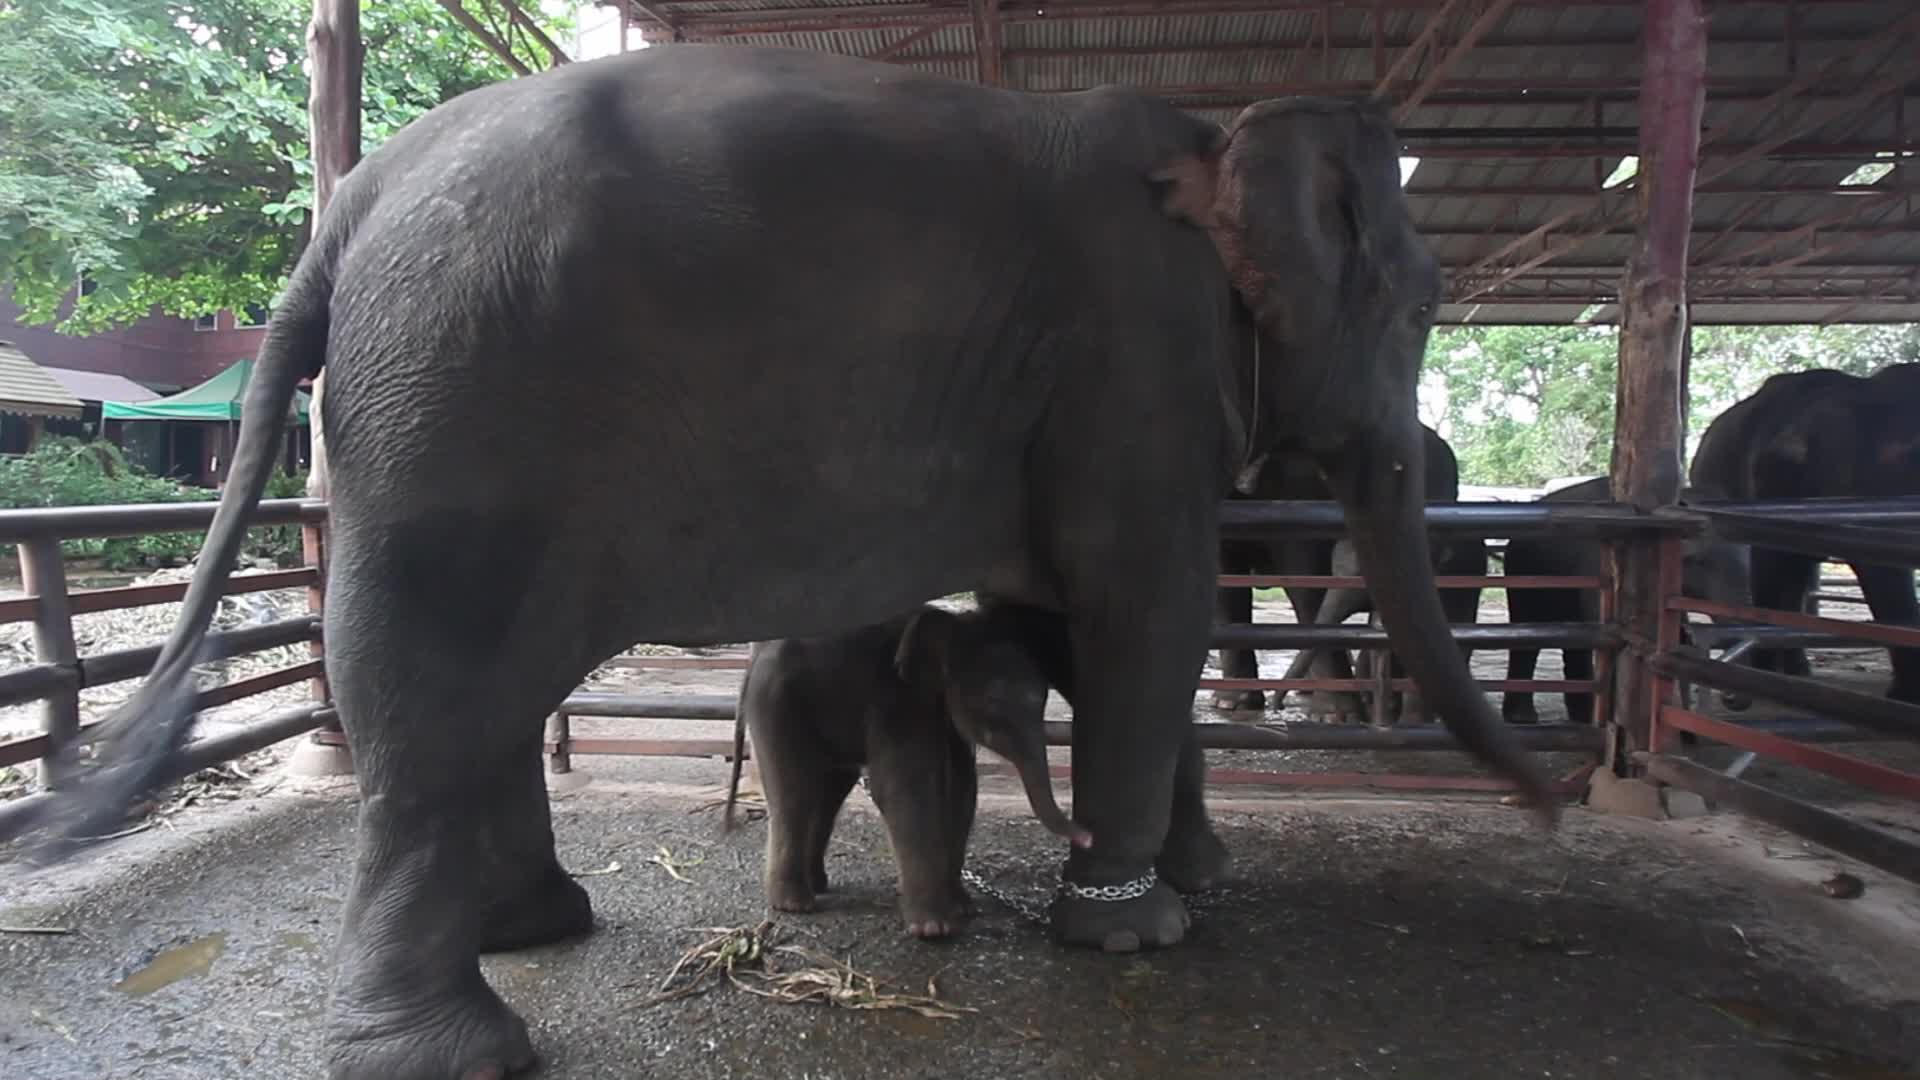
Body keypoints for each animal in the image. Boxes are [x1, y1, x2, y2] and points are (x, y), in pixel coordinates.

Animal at [723, 604, 1089, 939]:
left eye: (1043, 699)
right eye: (992, 706)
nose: (1086, 837)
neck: (955, 625)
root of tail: (751, 664)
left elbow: (962, 788)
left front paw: (964, 907)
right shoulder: (896, 702)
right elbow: (905, 788)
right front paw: (935, 929)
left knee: (831, 789)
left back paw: (818, 885)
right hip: (777, 706)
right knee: (794, 790)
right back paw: (795, 904)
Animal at [1214, 423, 1485, 719]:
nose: (1278, 707)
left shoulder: (1300, 480)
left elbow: (1305, 578)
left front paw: (1334, 717)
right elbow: (1225, 582)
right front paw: (1233, 704)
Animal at [1501, 476, 1753, 725]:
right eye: (1699, 561)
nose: (1731, 699)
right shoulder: (1600, 563)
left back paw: (1577, 716)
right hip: (1522, 572)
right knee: (1531, 632)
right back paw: (1526, 717)